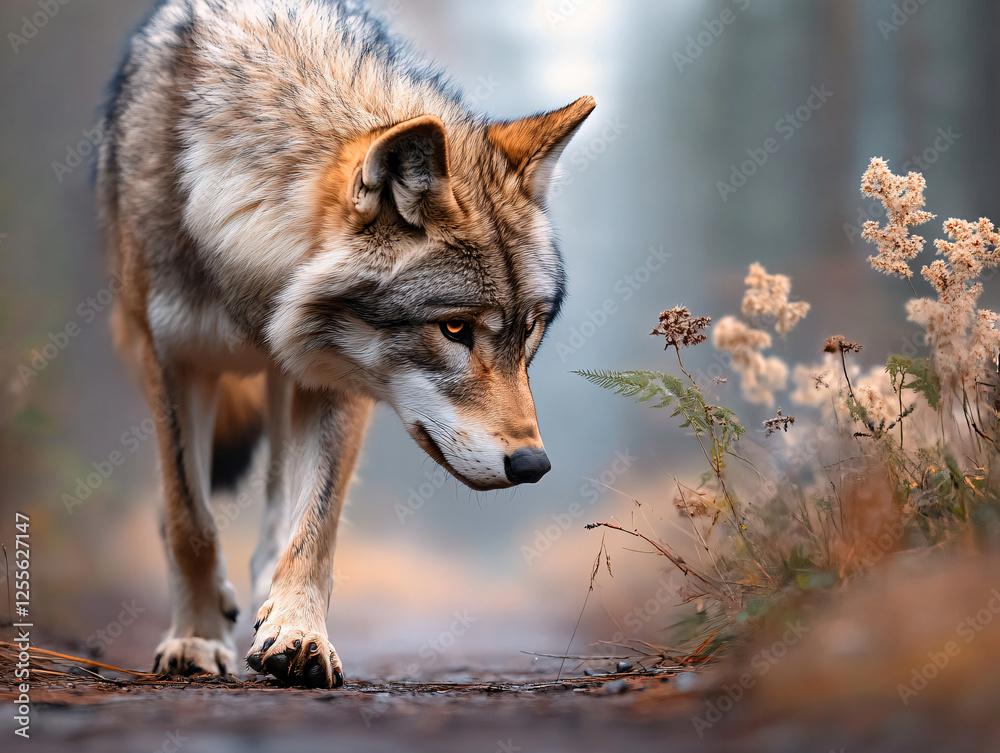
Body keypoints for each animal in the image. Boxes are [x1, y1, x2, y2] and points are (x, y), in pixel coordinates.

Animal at [96, 0, 594, 688]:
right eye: (455, 329)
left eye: (529, 330)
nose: (533, 466)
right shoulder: (174, 358)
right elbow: (189, 518)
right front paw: (196, 640)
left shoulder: (334, 377)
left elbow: (316, 524)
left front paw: (296, 634)